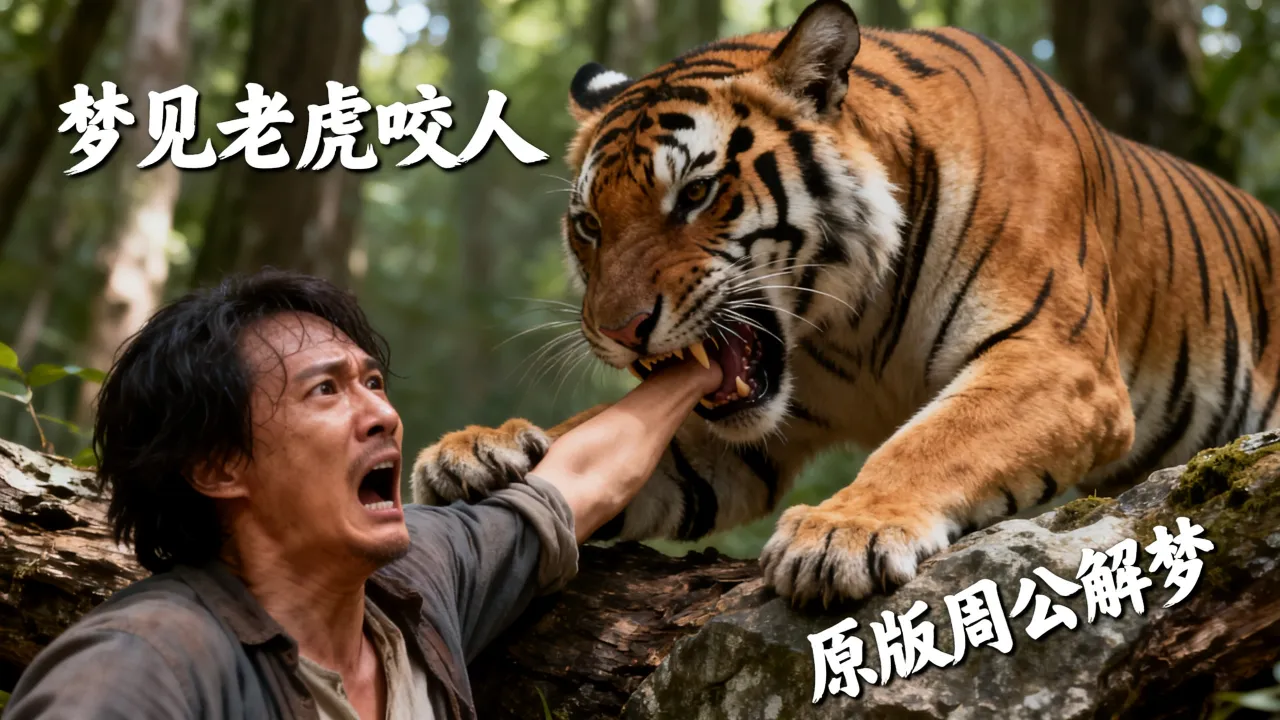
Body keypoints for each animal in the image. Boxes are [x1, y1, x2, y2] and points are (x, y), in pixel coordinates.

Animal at [411, 0, 1280, 607]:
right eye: (589, 224)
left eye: (694, 194)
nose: (617, 332)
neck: (849, 321)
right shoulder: (748, 437)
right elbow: (601, 439)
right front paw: (481, 451)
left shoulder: (1056, 359)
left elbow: (936, 440)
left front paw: (841, 533)